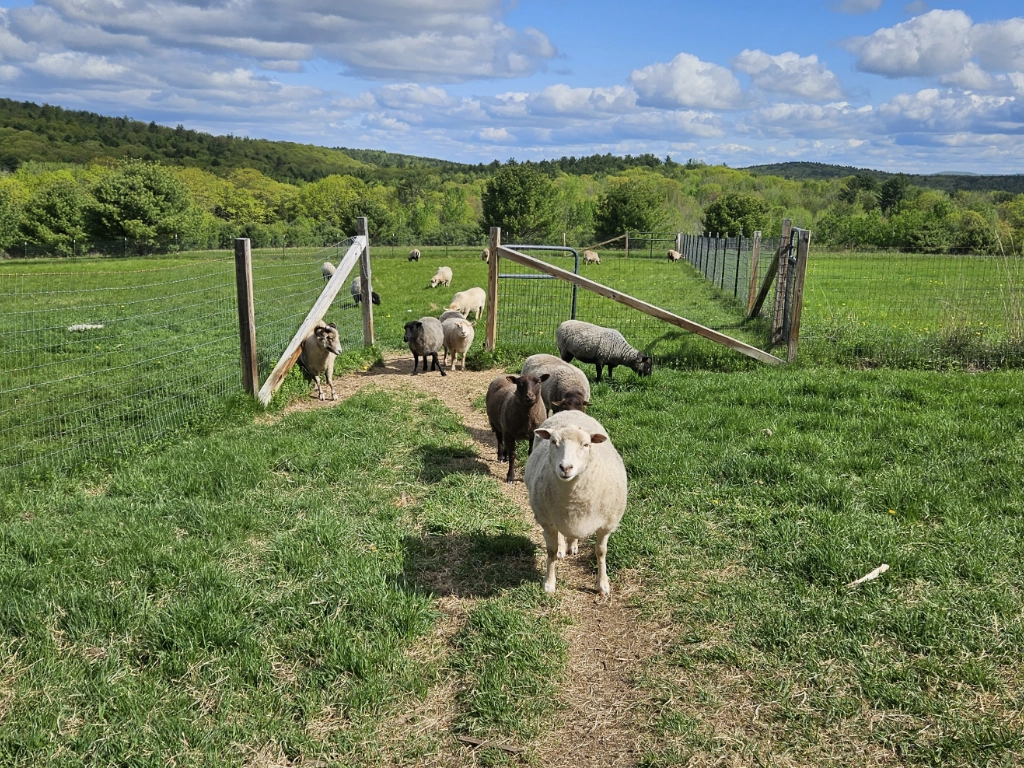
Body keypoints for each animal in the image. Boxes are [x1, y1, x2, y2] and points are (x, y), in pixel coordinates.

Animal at [525, 410, 627, 596]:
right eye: (553, 442)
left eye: (586, 445)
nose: (565, 468)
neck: (573, 497)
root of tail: (571, 411)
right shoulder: (547, 521)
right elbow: (550, 551)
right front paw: (549, 583)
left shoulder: (606, 525)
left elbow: (601, 552)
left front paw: (603, 584)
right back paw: (562, 548)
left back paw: (572, 545)